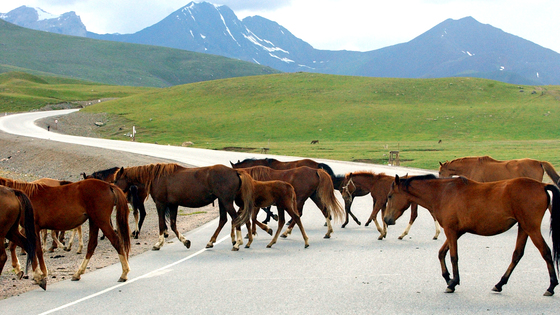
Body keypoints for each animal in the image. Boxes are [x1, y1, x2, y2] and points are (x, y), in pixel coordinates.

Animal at [0, 177, 131, 286]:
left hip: (101, 221)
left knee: (115, 241)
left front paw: (42, 273)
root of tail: (109, 185)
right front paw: (21, 269)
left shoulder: (33, 228)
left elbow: (37, 249)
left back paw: (124, 273)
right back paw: (78, 273)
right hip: (94, 221)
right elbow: (21, 246)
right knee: (92, 245)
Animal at [115, 163, 255, 252]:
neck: (157, 177)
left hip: (226, 201)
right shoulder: (173, 205)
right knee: (223, 220)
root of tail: (235, 171)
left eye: (116, 180)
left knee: (235, 219)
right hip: (222, 201)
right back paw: (211, 242)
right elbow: (172, 225)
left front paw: (158, 243)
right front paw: (185, 241)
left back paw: (237, 243)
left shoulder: (161, 204)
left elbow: (162, 224)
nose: (115, 193)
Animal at [384, 175, 560, 296]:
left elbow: (453, 256)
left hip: (531, 228)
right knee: (517, 255)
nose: (386, 219)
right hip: (523, 228)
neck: (442, 193)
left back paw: (551, 286)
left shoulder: (451, 231)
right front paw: (448, 278)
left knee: (546, 252)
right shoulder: (457, 232)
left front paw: (452, 283)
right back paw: (500, 284)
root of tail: (542, 185)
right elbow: (441, 253)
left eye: (390, 196)